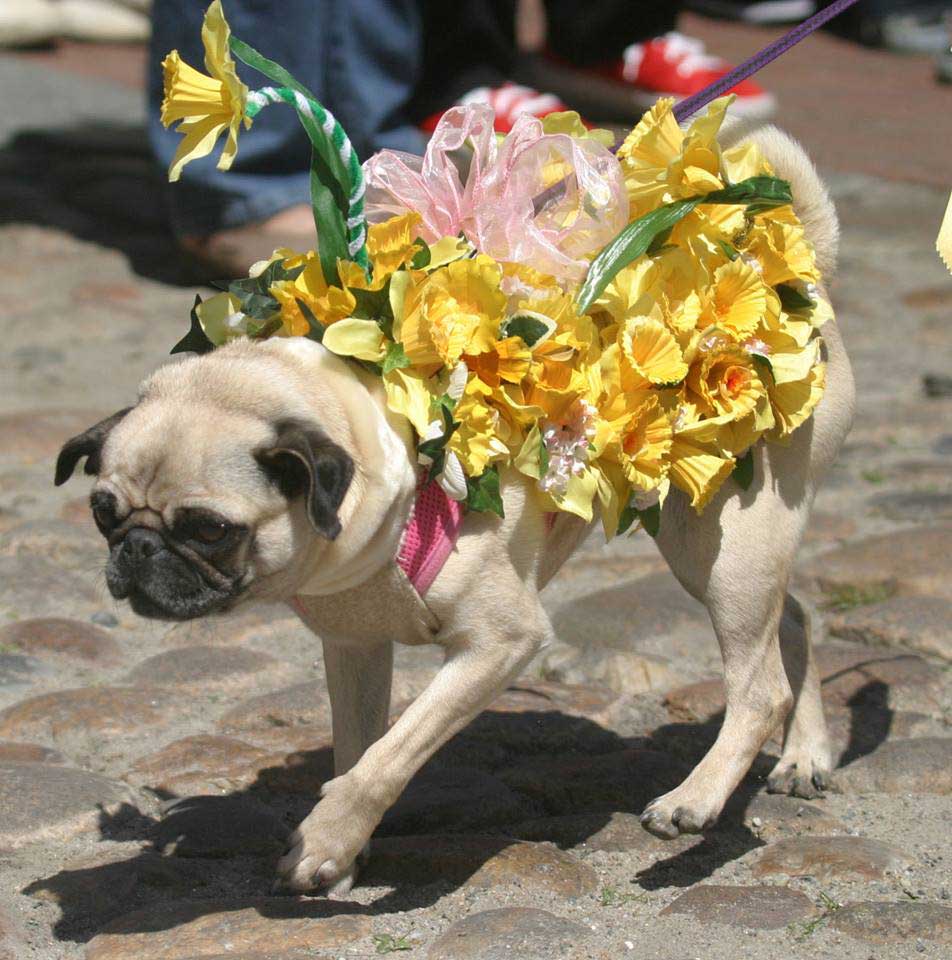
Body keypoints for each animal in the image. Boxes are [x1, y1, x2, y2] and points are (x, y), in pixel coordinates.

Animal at [54, 125, 856, 892]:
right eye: (103, 513)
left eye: (210, 530)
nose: (136, 549)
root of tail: (793, 272)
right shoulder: (354, 648)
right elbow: (360, 746)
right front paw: (342, 855)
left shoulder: (499, 644)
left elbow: (389, 756)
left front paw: (328, 837)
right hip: (734, 556)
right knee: (794, 620)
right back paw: (806, 757)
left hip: (717, 543)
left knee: (759, 688)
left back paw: (695, 800)